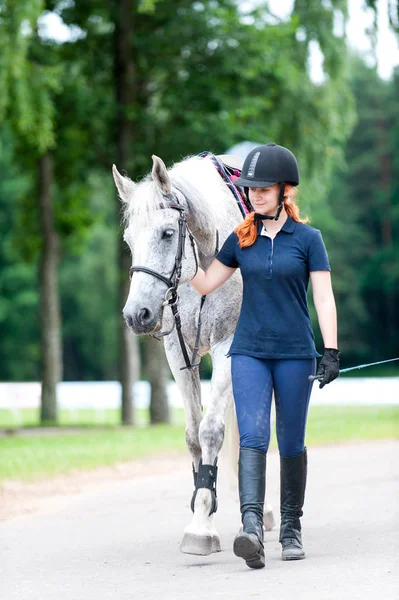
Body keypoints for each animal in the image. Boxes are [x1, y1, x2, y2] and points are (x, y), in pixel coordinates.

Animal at [112, 152, 276, 556]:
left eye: (167, 233)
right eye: (128, 239)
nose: (136, 314)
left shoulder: (227, 347)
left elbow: (212, 431)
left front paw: (202, 523)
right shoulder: (178, 352)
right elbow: (192, 434)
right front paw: (204, 507)